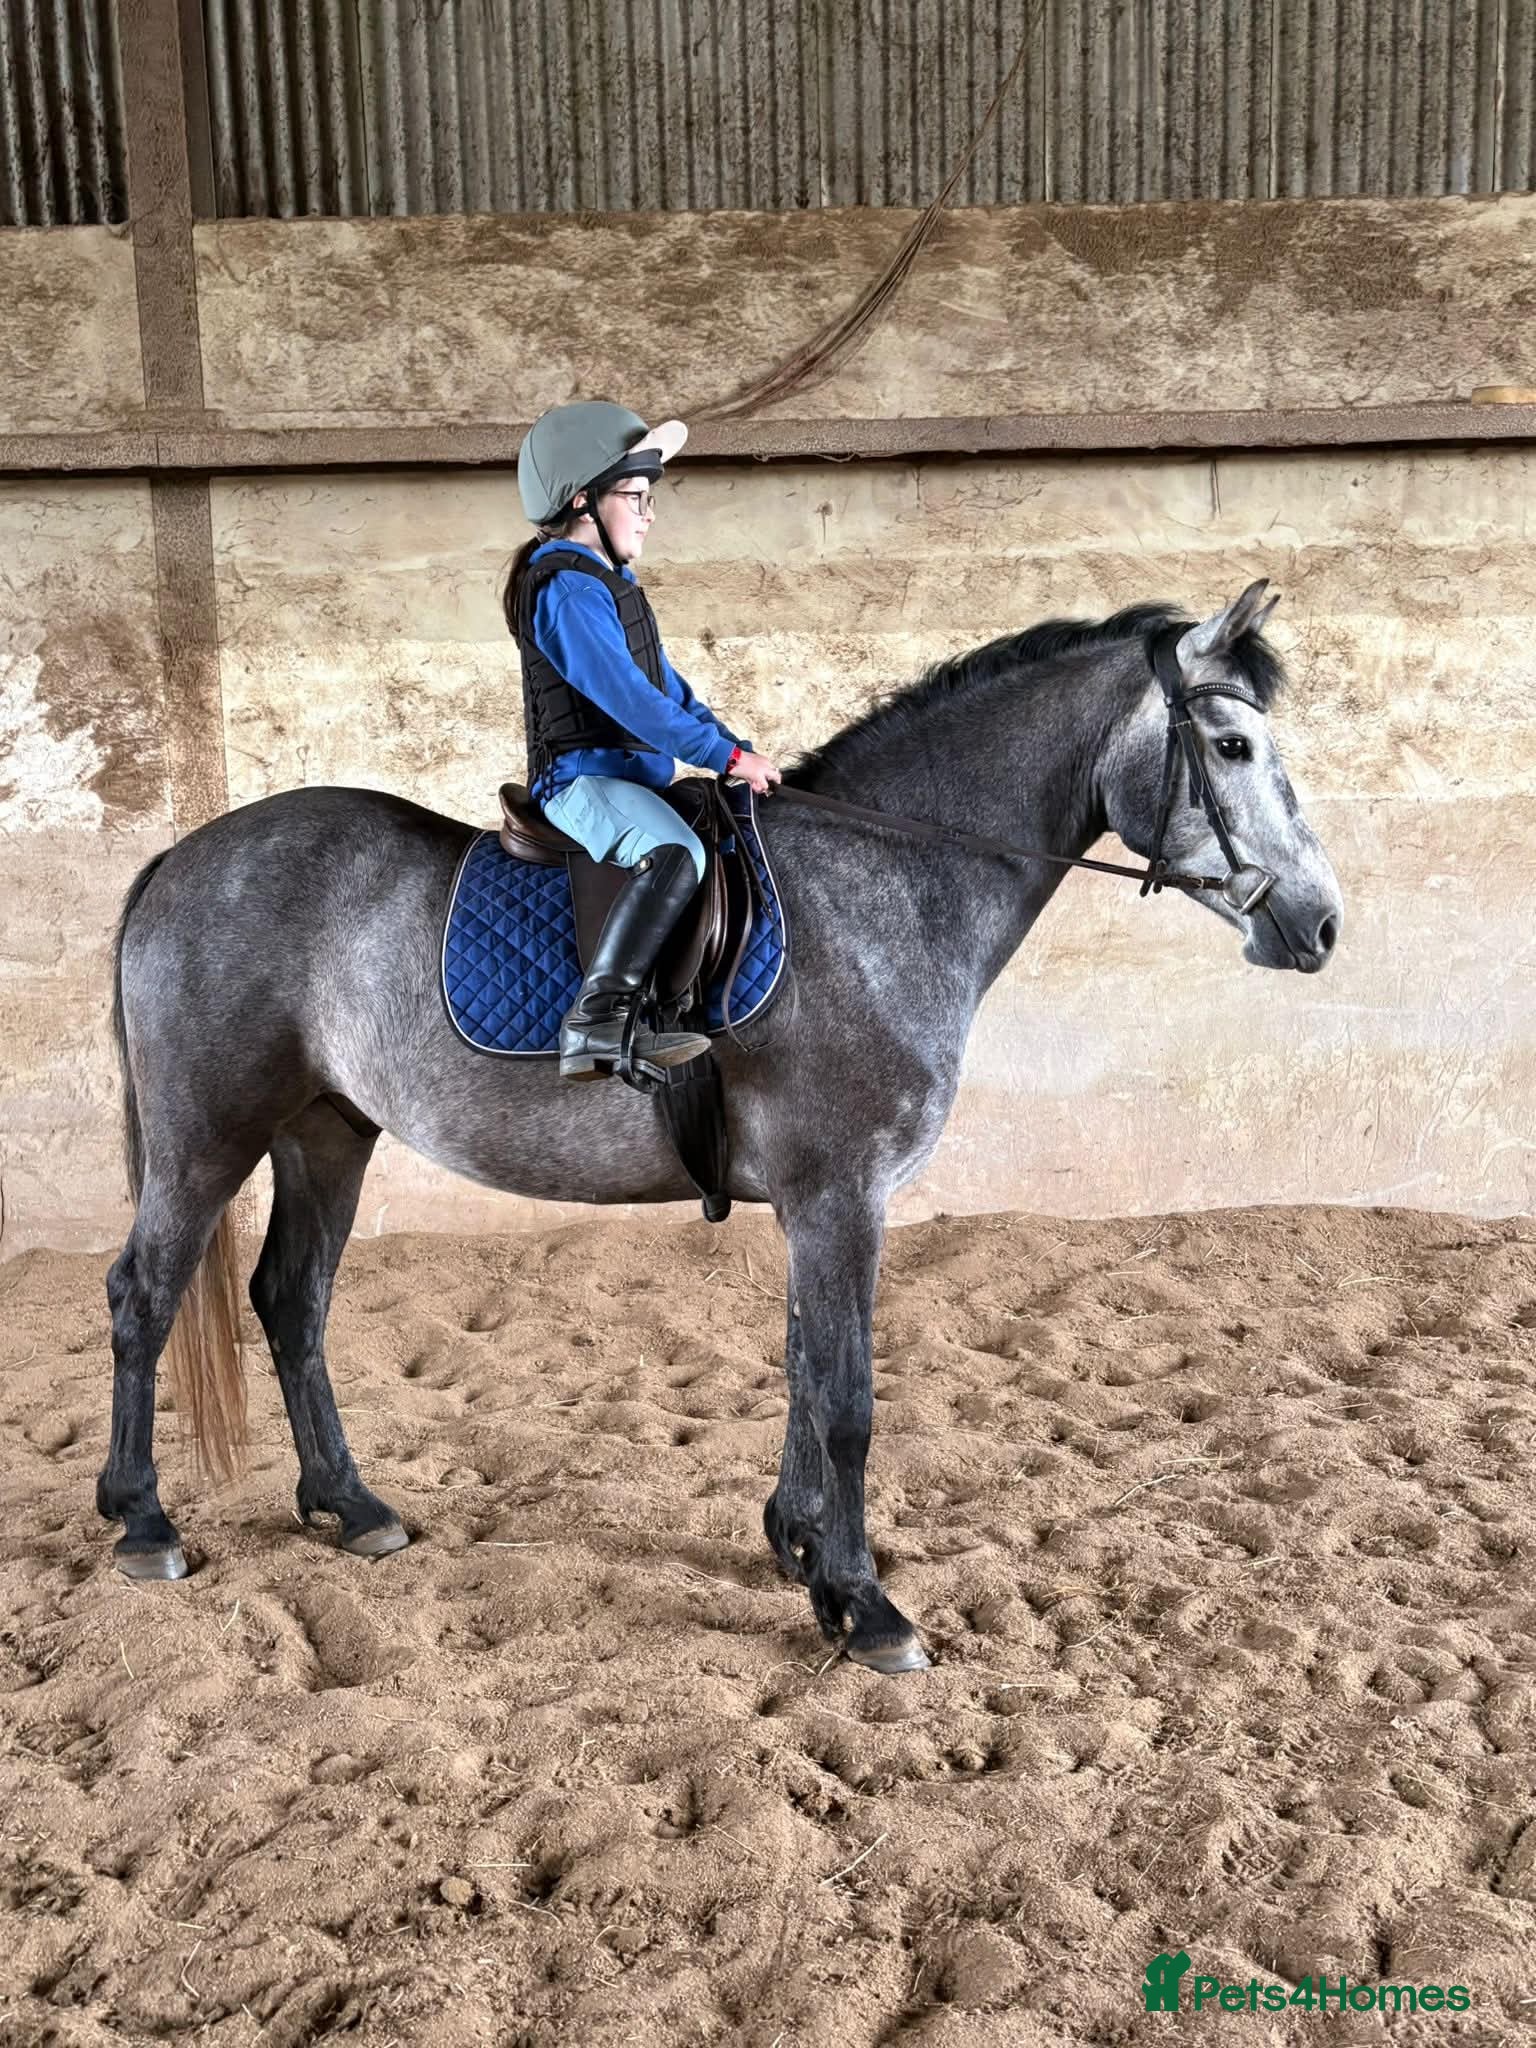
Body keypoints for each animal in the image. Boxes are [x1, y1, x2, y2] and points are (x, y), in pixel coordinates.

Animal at [97, 577, 1342, 1675]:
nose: (1321, 924)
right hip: (208, 1133)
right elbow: (847, 1396)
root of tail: (181, 856)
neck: (882, 883)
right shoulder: (840, 1193)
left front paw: (800, 1546)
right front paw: (864, 1603)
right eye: (1234, 748)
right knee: (145, 1297)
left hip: (327, 1130)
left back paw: (349, 1504)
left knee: (290, 1298)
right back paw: (143, 1521)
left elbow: (802, 1367)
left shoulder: (817, 1202)